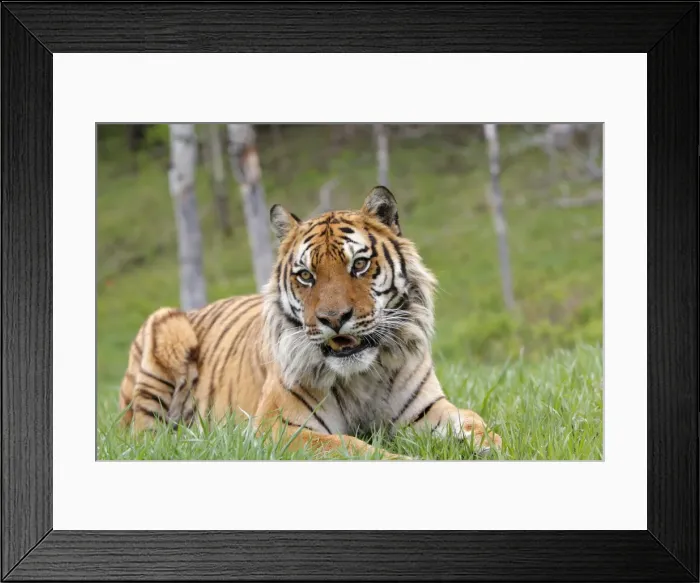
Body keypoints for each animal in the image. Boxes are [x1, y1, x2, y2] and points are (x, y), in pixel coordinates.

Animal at [118, 186, 502, 459]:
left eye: (359, 265)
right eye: (306, 275)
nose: (334, 318)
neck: (363, 376)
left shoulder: (426, 411)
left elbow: (476, 421)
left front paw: (489, 445)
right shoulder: (278, 428)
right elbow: (351, 447)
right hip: (165, 330)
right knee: (144, 439)